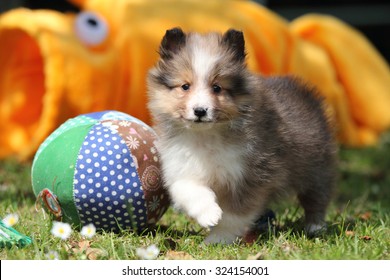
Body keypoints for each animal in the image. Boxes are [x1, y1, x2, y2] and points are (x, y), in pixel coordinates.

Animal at [146, 27, 336, 244]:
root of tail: (305, 92)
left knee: (317, 197)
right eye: (185, 86)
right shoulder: (181, 167)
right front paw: (209, 214)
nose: (200, 111)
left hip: (316, 167)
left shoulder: (251, 175)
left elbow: (233, 215)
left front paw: (217, 239)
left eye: (217, 87)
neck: (206, 136)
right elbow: (189, 190)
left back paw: (315, 227)